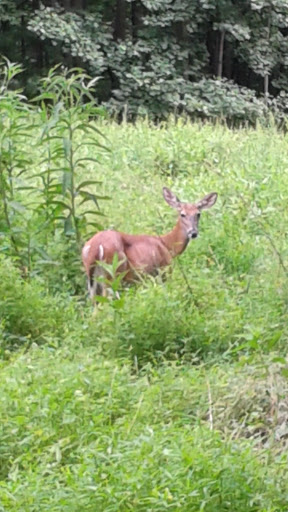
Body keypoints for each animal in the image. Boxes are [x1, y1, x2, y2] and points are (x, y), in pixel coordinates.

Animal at [82, 187, 217, 300]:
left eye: (198, 214)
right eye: (182, 214)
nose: (193, 233)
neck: (167, 245)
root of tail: (95, 247)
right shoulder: (163, 271)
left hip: (92, 280)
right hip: (114, 273)